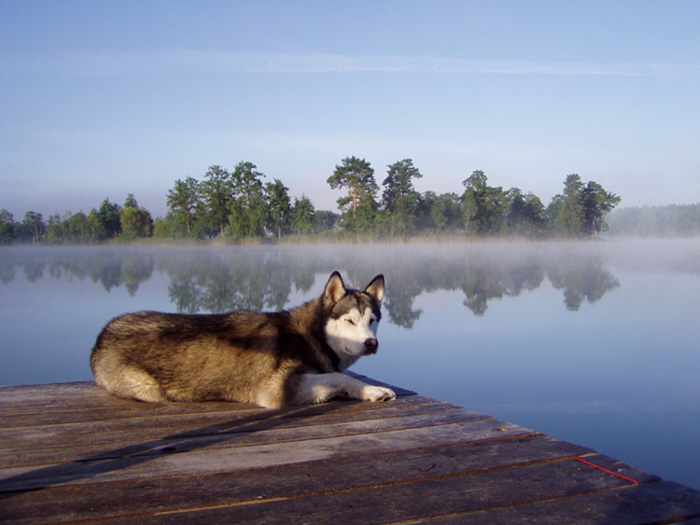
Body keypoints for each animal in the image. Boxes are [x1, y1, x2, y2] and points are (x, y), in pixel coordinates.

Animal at [89, 272, 394, 408]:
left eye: (372, 320)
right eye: (349, 321)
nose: (371, 343)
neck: (310, 335)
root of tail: (102, 334)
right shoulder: (279, 389)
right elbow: (340, 377)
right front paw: (371, 390)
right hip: (147, 387)